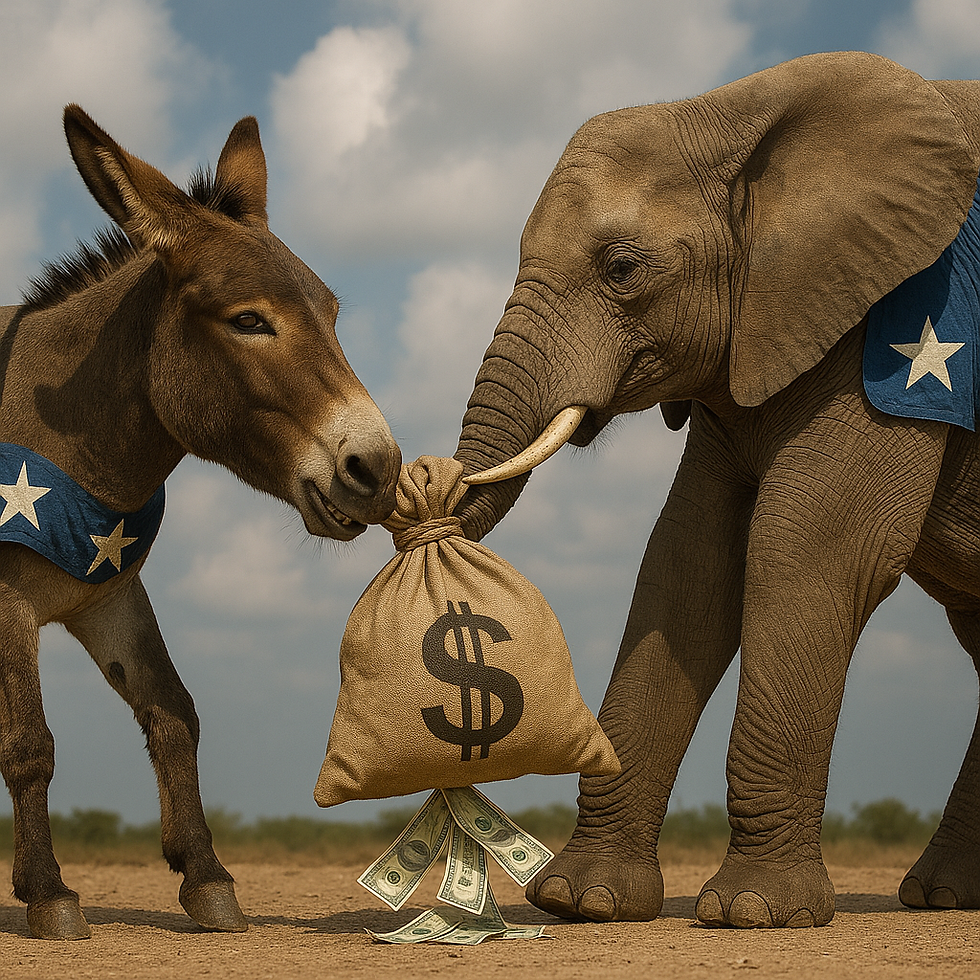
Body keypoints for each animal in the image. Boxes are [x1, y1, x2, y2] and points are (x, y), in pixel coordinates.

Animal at [451, 51, 980, 928]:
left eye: (622, 269)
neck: (734, 109)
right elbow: (686, 561)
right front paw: (584, 902)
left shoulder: (892, 330)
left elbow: (809, 546)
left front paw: (755, 913)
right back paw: (945, 895)